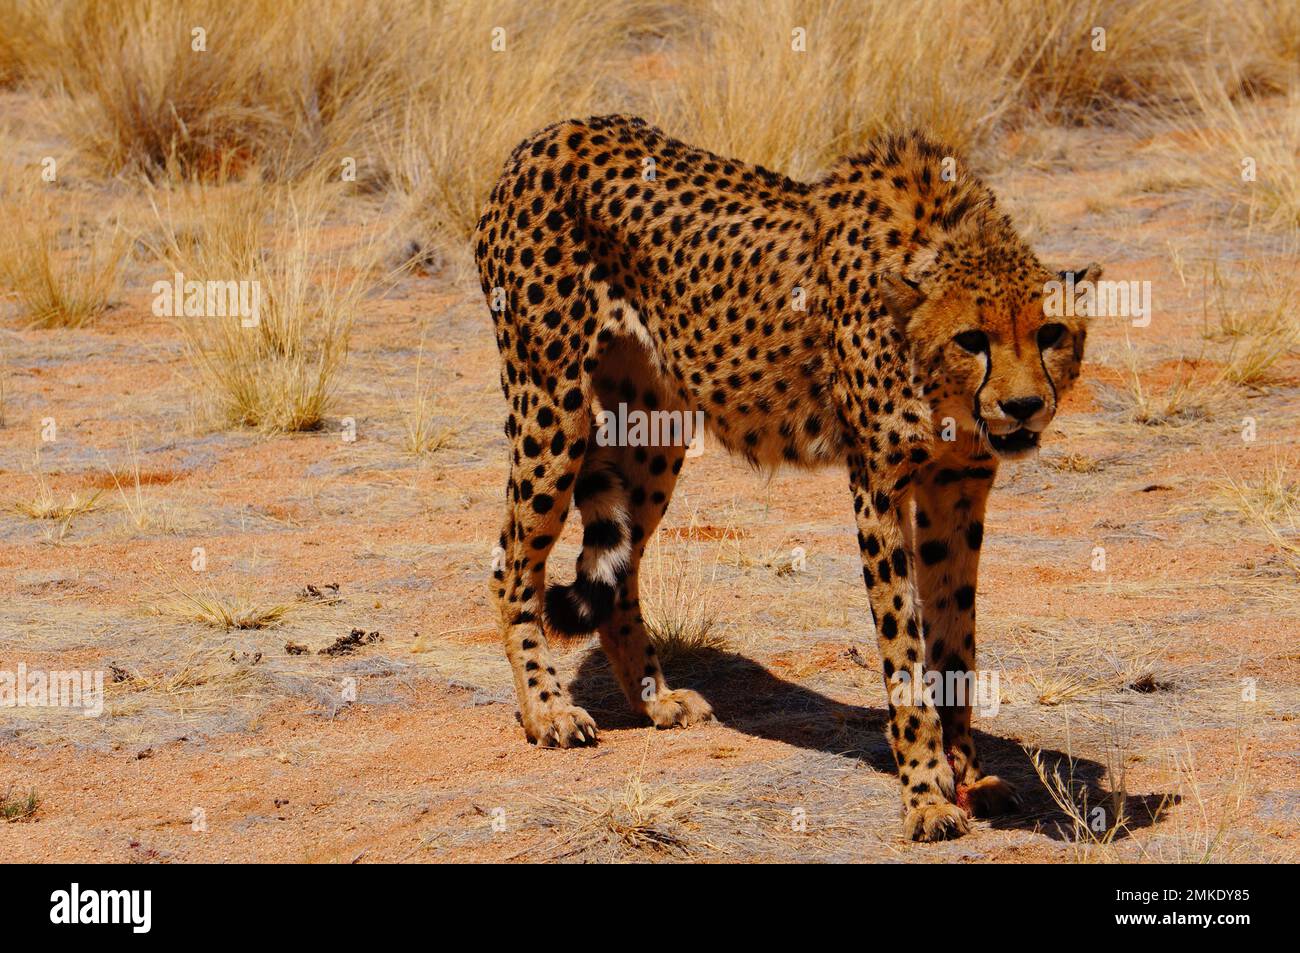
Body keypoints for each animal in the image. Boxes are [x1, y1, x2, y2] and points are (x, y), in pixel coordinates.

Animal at [473, 117, 1102, 842]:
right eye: (972, 339)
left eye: (1050, 332)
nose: (1024, 406)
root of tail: (550, 133)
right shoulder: (879, 490)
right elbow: (904, 649)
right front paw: (926, 796)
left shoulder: (959, 492)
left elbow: (956, 646)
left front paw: (969, 777)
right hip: (553, 406)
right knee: (512, 561)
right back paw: (547, 710)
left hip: (657, 430)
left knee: (619, 567)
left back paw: (656, 700)